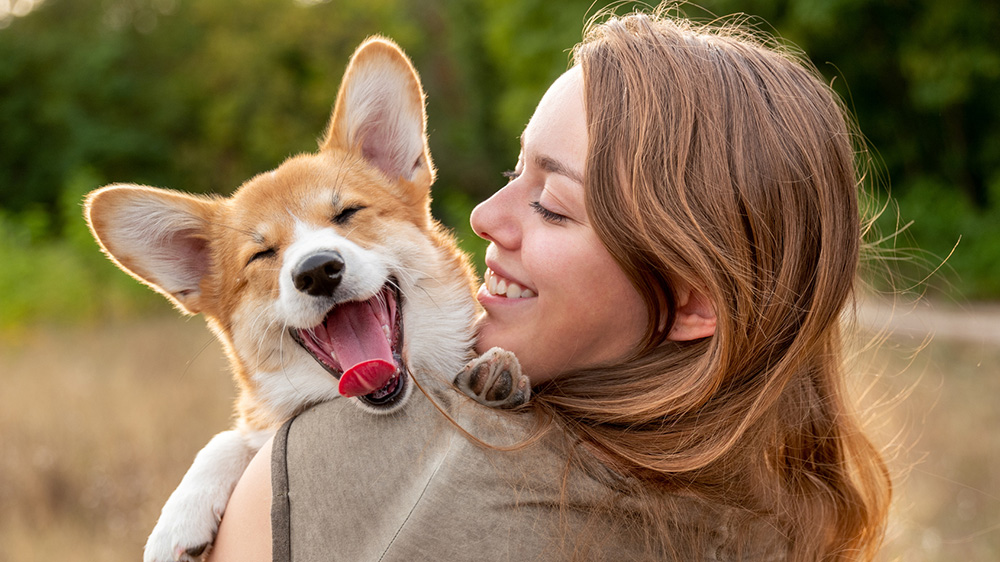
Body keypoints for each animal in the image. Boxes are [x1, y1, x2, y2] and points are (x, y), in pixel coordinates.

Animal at [84, 38, 532, 560]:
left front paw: (493, 373)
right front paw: (177, 520)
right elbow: (230, 438)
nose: (317, 270)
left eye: (348, 213)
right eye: (262, 254)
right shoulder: (261, 423)